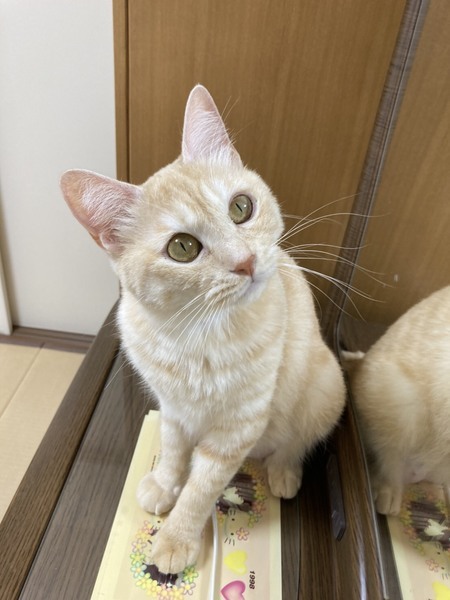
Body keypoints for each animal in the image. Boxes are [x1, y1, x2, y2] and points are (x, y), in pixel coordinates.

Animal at [60, 84, 345, 574]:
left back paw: (284, 471)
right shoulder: (172, 407)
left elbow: (202, 487)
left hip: (324, 389)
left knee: (297, 441)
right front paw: (163, 483)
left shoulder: (238, 426)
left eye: (240, 207)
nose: (245, 262)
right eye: (182, 247)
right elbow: (175, 449)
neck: (196, 337)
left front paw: (176, 539)